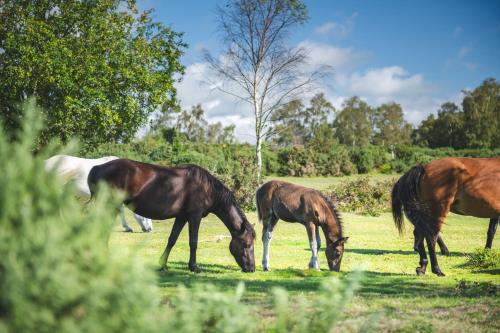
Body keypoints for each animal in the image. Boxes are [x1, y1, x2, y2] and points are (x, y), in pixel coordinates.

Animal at [87, 159, 256, 272]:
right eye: (246, 244)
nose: (252, 268)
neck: (206, 187)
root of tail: (97, 167)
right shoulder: (194, 216)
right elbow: (193, 241)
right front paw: (194, 267)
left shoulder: (182, 217)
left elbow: (172, 239)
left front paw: (163, 264)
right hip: (110, 206)